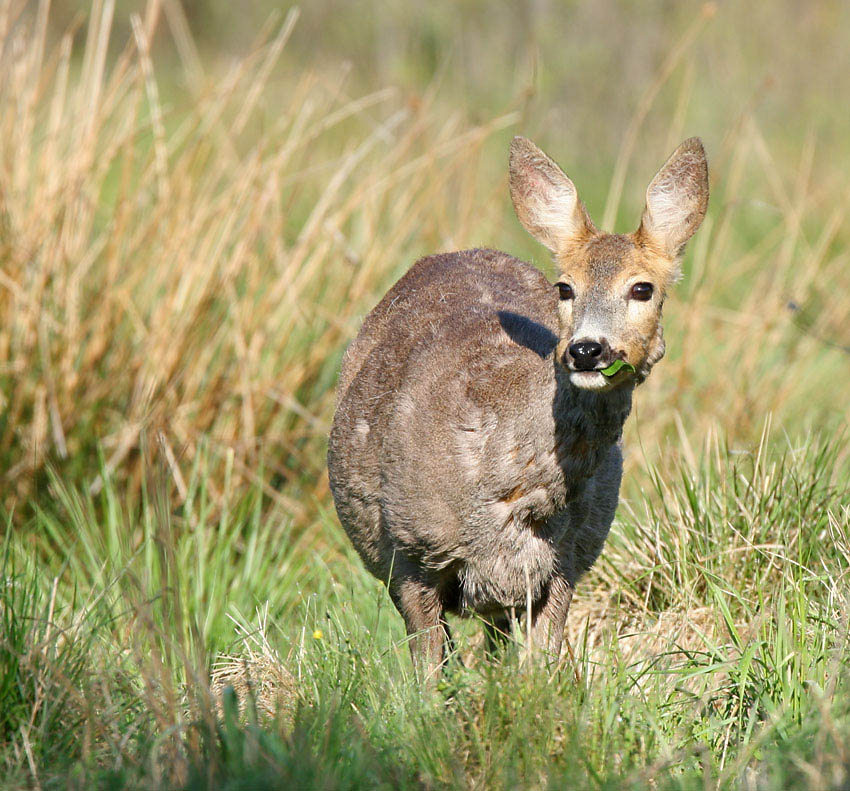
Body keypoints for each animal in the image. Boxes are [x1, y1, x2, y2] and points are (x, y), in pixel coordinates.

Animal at [326, 135, 708, 680]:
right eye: (565, 287)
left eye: (643, 288)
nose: (587, 350)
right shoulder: (410, 555)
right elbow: (427, 674)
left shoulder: (567, 562)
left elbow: (541, 668)